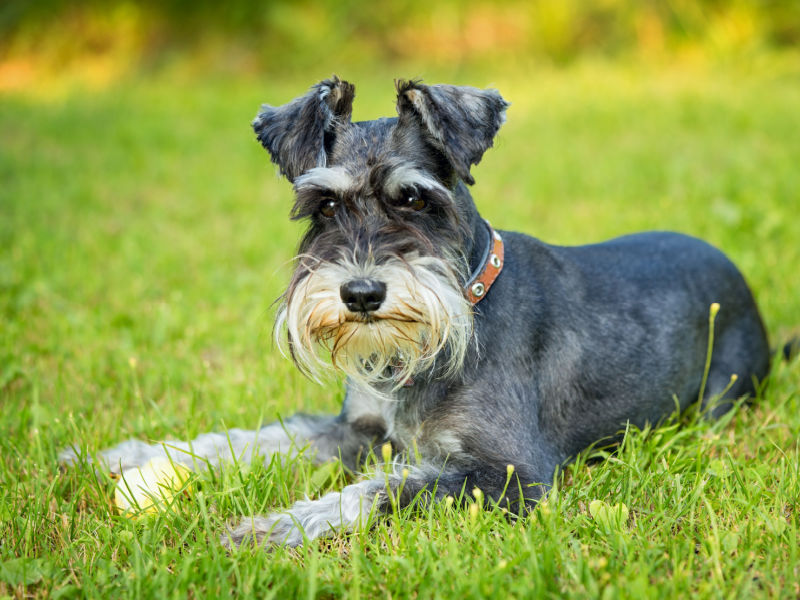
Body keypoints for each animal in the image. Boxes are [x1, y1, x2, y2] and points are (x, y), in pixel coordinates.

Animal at [59, 78, 772, 548]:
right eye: (323, 206)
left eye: (414, 199)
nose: (361, 295)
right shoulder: (356, 430)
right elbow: (252, 438)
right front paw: (126, 455)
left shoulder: (509, 476)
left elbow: (380, 490)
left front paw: (275, 526)